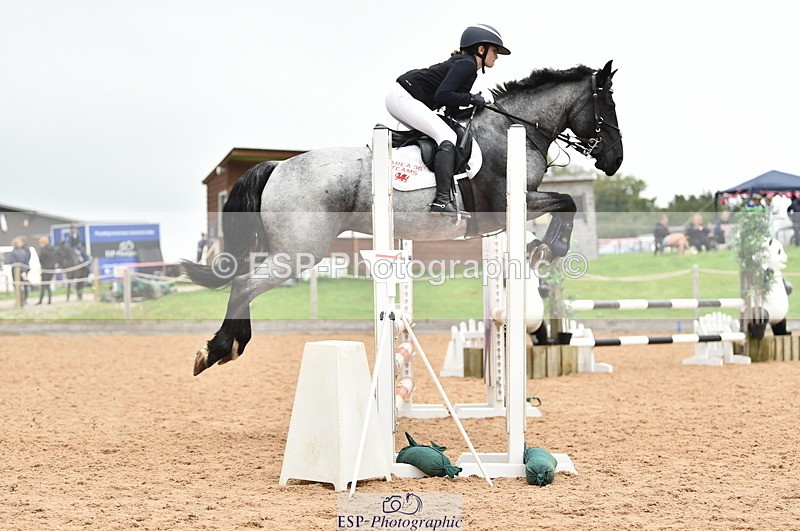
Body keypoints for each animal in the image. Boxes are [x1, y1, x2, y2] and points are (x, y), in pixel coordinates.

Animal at [183, 60, 624, 376]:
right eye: (608, 105)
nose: (615, 161)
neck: (512, 129)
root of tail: (276, 166)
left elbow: (566, 202)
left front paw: (540, 247)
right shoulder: (508, 203)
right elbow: (568, 200)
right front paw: (549, 248)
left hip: (283, 250)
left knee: (243, 281)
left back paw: (229, 346)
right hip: (298, 252)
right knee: (244, 284)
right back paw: (217, 349)